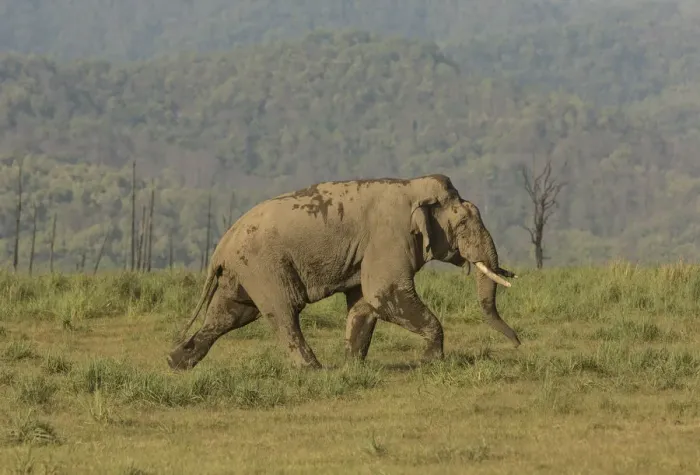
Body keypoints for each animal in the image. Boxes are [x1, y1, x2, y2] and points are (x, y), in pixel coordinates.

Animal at [167, 174, 521, 371]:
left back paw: (176, 362)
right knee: (282, 312)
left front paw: (353, 367)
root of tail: (221, 247)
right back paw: (314, 370)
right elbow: (384, 292)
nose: (519, 343)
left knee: (229, 315)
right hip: (262, 266)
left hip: (241, 274)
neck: (412, 186)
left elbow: (365, 302)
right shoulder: (389, 236)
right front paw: (430, 362)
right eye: (463, 223)